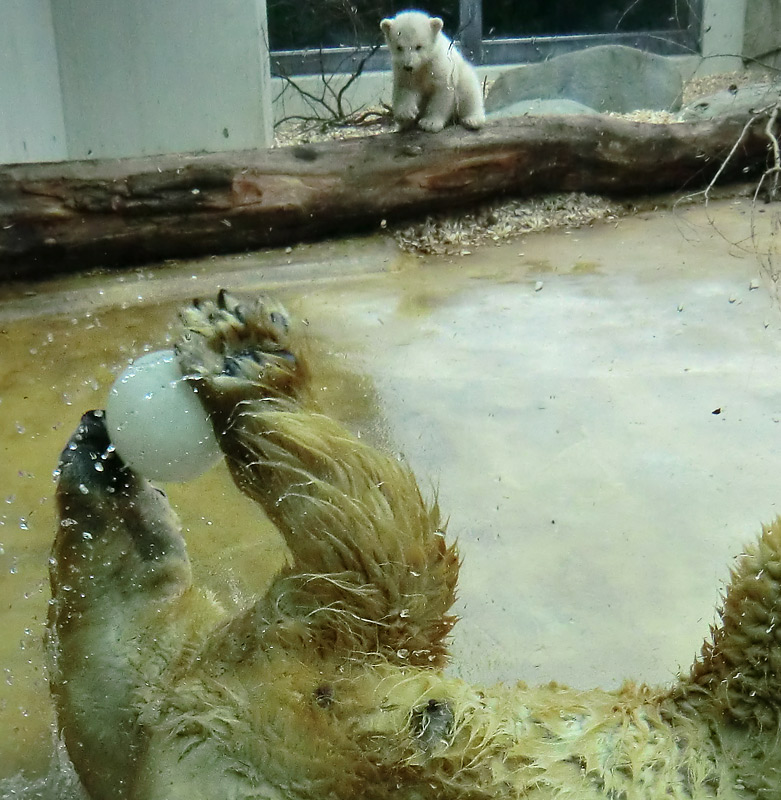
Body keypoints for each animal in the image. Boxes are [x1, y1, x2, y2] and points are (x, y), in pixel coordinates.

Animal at [51, 290, 780, 796]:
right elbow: (382, 553)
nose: (89, 424)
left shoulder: (268, 656)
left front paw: (239, 341)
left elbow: (378, 553)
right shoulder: (243, 733)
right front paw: (241, 354)